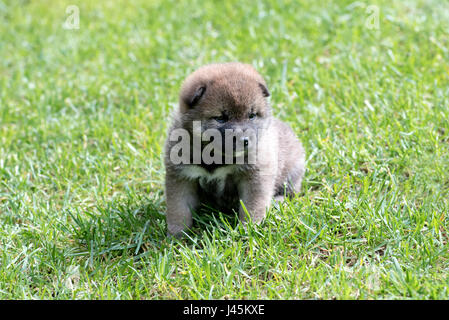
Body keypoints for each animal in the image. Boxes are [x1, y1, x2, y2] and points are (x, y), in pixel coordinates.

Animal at [164, 63, 304, 238]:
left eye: (251, 115)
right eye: (220, 118)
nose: (245, 140)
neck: (215, 157)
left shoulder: (254, 176)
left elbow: (252, 206)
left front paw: (249, 229)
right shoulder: (182, 176)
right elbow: (178, 208)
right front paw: (177, 235)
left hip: (292, 172)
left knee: (290, 192)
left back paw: (278, 201)